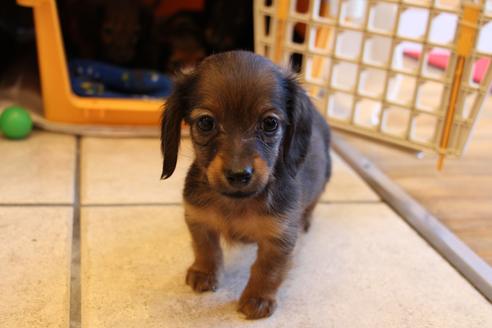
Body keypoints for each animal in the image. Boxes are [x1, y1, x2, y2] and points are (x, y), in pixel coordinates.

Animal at [160, 50, 330, 318]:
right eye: (205, 122)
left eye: (270, 123)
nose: (239, 174)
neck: (236, 203)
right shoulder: (198, 220)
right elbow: (206, 248)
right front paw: (204, 272)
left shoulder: (279, 237)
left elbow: (267, 269)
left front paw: (258, 298)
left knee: (312, 204)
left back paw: (306, 220)